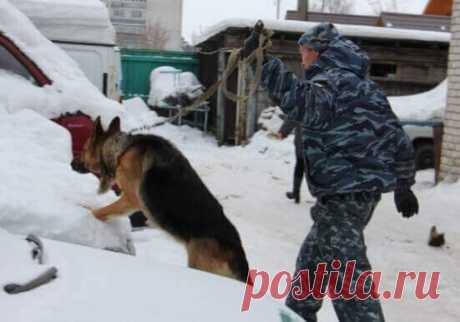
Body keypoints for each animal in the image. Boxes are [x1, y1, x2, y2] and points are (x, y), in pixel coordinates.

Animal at [76, 116, 248, 282]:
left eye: (83, 149)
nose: (72, 163)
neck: (122, 149)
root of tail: (240, 259)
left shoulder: (130, 200)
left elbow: (101, 211)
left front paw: (84, 212)